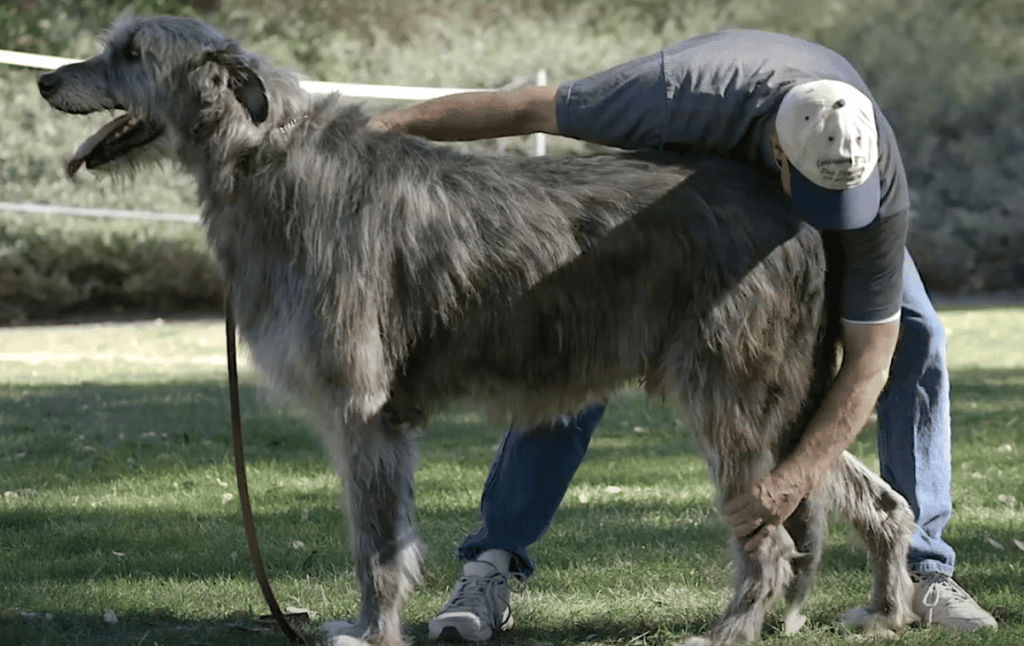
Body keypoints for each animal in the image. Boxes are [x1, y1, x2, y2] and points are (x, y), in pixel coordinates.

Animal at [41, 15, 921, 646]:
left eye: (131, 50)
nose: (47, 79)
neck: (266, 163)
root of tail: (793, 212)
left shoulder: (363, 412)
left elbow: (375, 546)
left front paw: (372, 632)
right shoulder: (379, 419)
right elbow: (386, 539)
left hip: (731, 396)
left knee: (769, 540)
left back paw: (732, 631)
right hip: (783, 398)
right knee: (873, 498)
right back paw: (886, 608)